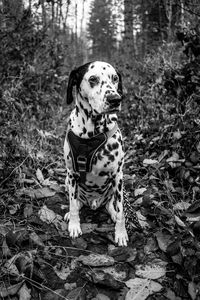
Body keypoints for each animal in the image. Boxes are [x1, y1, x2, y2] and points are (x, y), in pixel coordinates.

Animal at [63, 60, 128, 246]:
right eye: (93, 79)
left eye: (115, 78)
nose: (115, 99)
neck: (92, 134)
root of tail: (93, 203)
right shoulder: (71, 173)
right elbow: (72, 203)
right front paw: (74, 225)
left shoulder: (118, 176)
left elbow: (121, 211)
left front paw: (121, 233)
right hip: (67, 181)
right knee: (76, 202)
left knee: (112, 205)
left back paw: (111, 212)